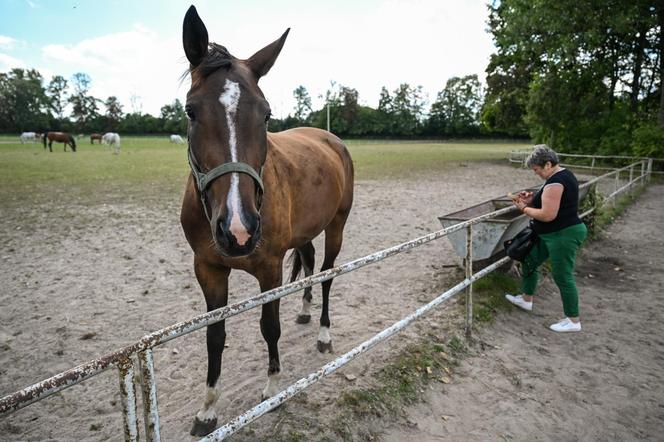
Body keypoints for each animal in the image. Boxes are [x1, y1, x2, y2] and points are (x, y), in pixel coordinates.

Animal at [176, 5, 352, 436]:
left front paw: (273, 388)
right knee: (308, 263)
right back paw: (304, 310)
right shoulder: (207, 269)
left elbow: (269, 325)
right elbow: (214, 335)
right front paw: (207, 409)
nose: (238, 230)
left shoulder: (269, 268)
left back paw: (323, 332)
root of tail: (330, 140)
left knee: (326, 274)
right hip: (305, 232)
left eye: (267, 113)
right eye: (191, 110)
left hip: (337, 226)